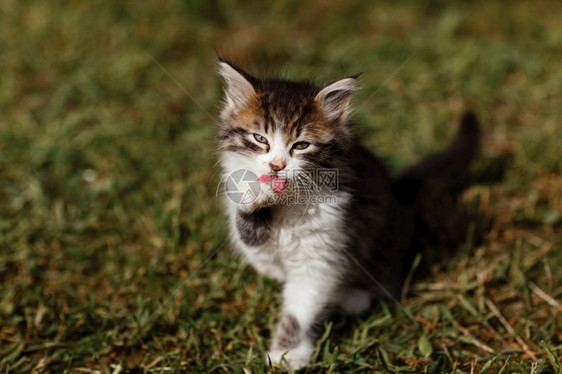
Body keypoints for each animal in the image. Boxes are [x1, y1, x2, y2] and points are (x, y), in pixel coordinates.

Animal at [214, 58, 476, 368]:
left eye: (301, 145)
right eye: (260, 139)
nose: (277, 166)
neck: (288, 200)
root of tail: (398, 193)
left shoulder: (323, 251)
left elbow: (300, 310)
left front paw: (287, 355)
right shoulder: (252, 239)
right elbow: (249, 231)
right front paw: (255, 194)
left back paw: (352, 297)